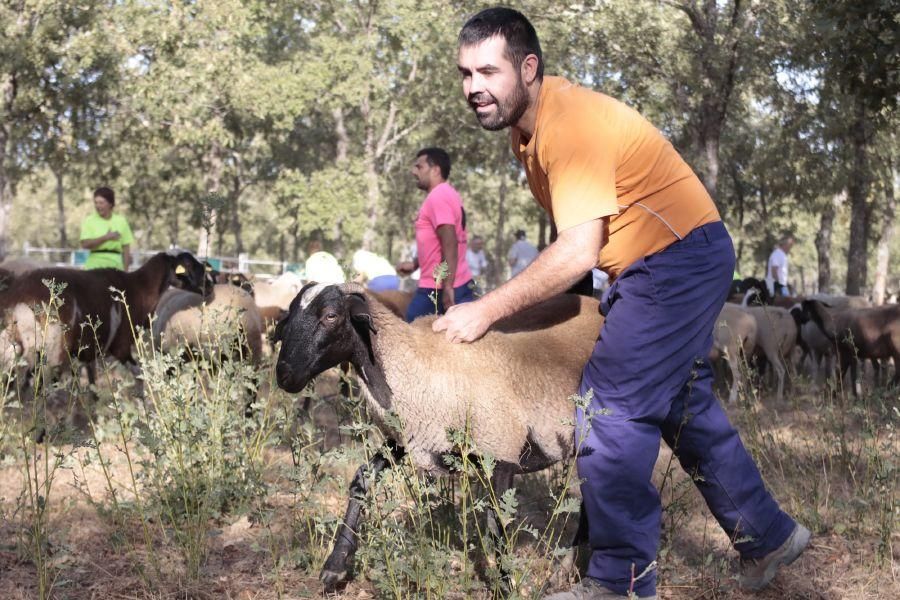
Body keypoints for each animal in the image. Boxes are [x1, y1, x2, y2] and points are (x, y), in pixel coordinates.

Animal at [274, 282, 604, 592]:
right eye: (290, 312)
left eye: (331, 316)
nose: (284, 375)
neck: (418, 362)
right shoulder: (412, 436)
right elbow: (363, 479)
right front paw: (336, 564)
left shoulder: (501, 449)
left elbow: (496, 522)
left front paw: (505, 585)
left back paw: (567, 569)